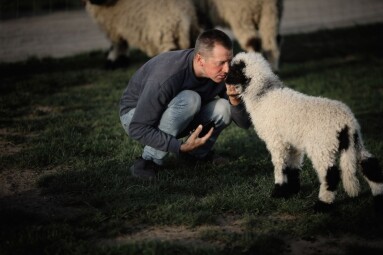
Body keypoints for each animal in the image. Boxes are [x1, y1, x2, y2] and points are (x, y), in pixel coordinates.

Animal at [226, 51, 382, 211]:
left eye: (234, 70)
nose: (225, 79)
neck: (263, 95)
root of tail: (347, 123)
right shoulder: (293, 141)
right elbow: (293, 167)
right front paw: (293, 190)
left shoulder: (276, 141)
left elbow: (280, 166)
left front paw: (278, 191)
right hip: (356, 142)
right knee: (370, 163)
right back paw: (378, 198)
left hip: (322, 147)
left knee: (330, 174)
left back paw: (322, 205)